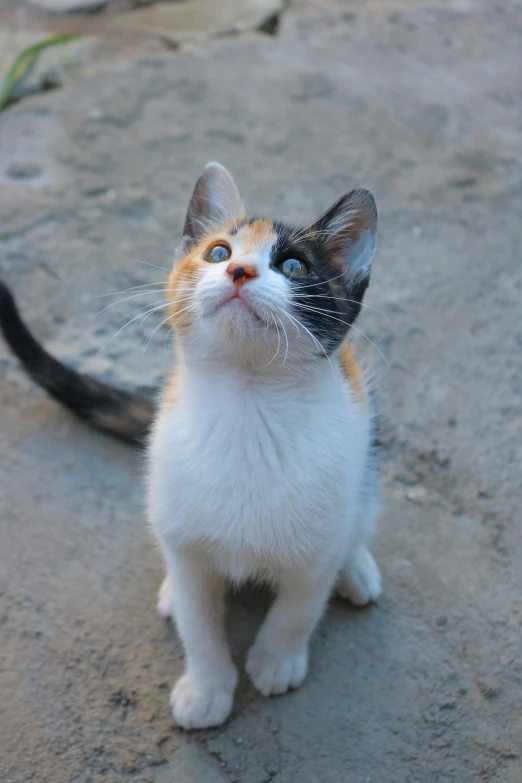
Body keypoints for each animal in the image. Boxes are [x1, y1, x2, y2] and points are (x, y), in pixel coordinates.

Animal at [0, 162, 382, 732]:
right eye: (219, 252)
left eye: (293, 264)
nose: (239, 271)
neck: (248, 405)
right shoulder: (187, 544)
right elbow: (199, 623)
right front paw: (206, 688)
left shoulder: (317, 543)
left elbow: (298, 607)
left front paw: (276, 660)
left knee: (358, 515)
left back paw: (355, 568)